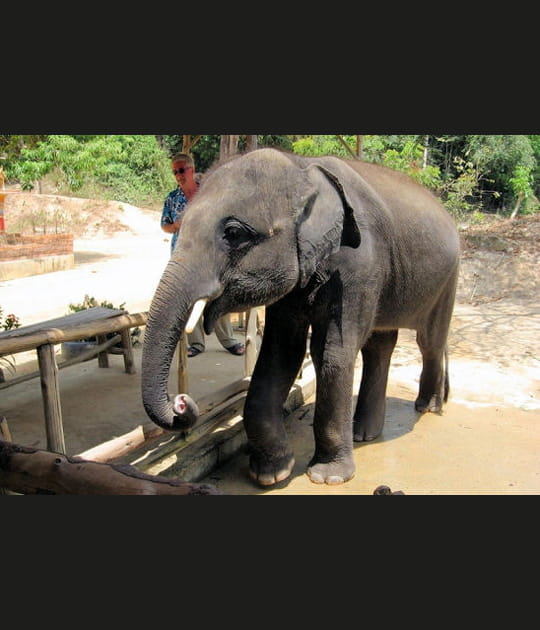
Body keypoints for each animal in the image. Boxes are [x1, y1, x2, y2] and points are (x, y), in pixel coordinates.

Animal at [140, 148, 460, 488]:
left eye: (234, 233)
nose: (181, 402)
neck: (302, 167)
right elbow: (281, 353)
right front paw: (270, 473)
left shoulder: (358, 266)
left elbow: (331, 353)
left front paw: (328, 478)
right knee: (380, 344)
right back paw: (364, 434)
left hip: (448, 278)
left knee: (429, 341)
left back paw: (426, 407)